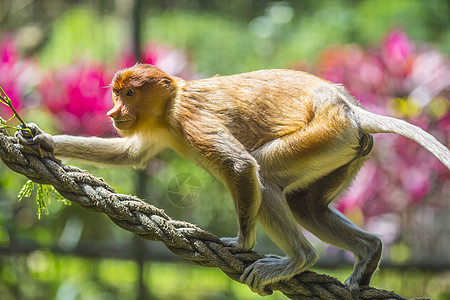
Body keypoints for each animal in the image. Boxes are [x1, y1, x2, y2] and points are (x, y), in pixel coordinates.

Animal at [17, 63, 450, 296]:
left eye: (128, 94)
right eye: (115, 93)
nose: (113, 113)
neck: (173, 101)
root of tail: (350, 110)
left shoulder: (190, 120)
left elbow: (241, 166)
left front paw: (241, 243)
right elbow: (132, 154)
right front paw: (41, 139)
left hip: (327, 135)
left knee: (266, 176)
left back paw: (299, 259)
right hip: (347, 148)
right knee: (305, 204)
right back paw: (368, 251)